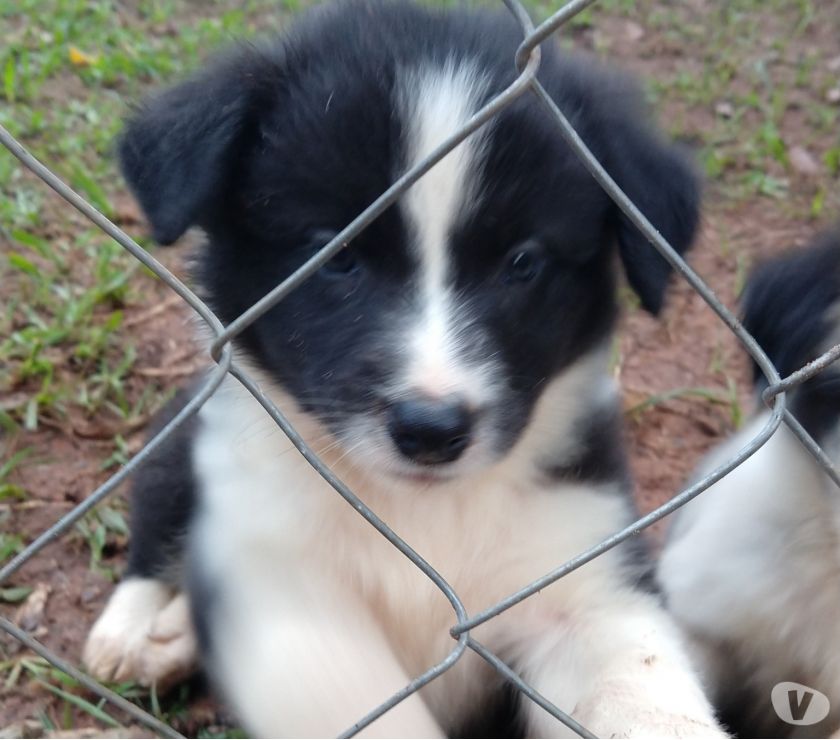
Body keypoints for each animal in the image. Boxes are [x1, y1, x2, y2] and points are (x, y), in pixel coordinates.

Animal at [83, 2, 720, 736]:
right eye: (336, 255)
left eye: (522, 262)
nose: (431, 430)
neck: (422, 511)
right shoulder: (278, 583)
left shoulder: (579, 571)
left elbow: (638, 686)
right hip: (183, 445)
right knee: (155, 525)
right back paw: (133, 634)